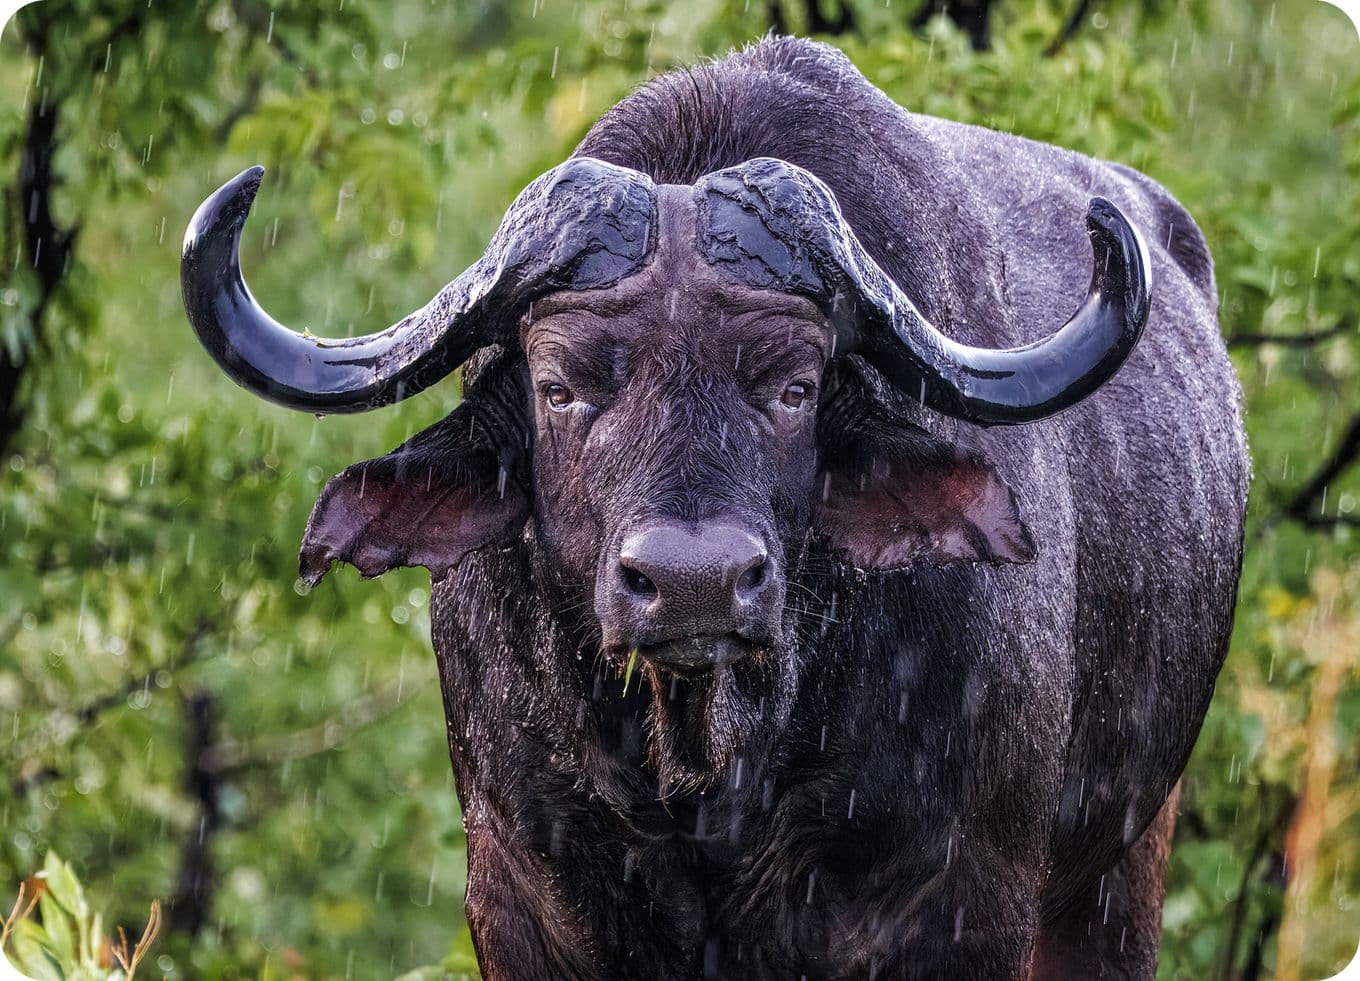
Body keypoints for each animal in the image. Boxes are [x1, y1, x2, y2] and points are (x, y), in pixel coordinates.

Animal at [181, 36, 1249, 981]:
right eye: (561, 387)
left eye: (795, 388)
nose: (694, 582)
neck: (712, 767)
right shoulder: (517, 898)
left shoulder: (967, 906)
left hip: (1123, 865)